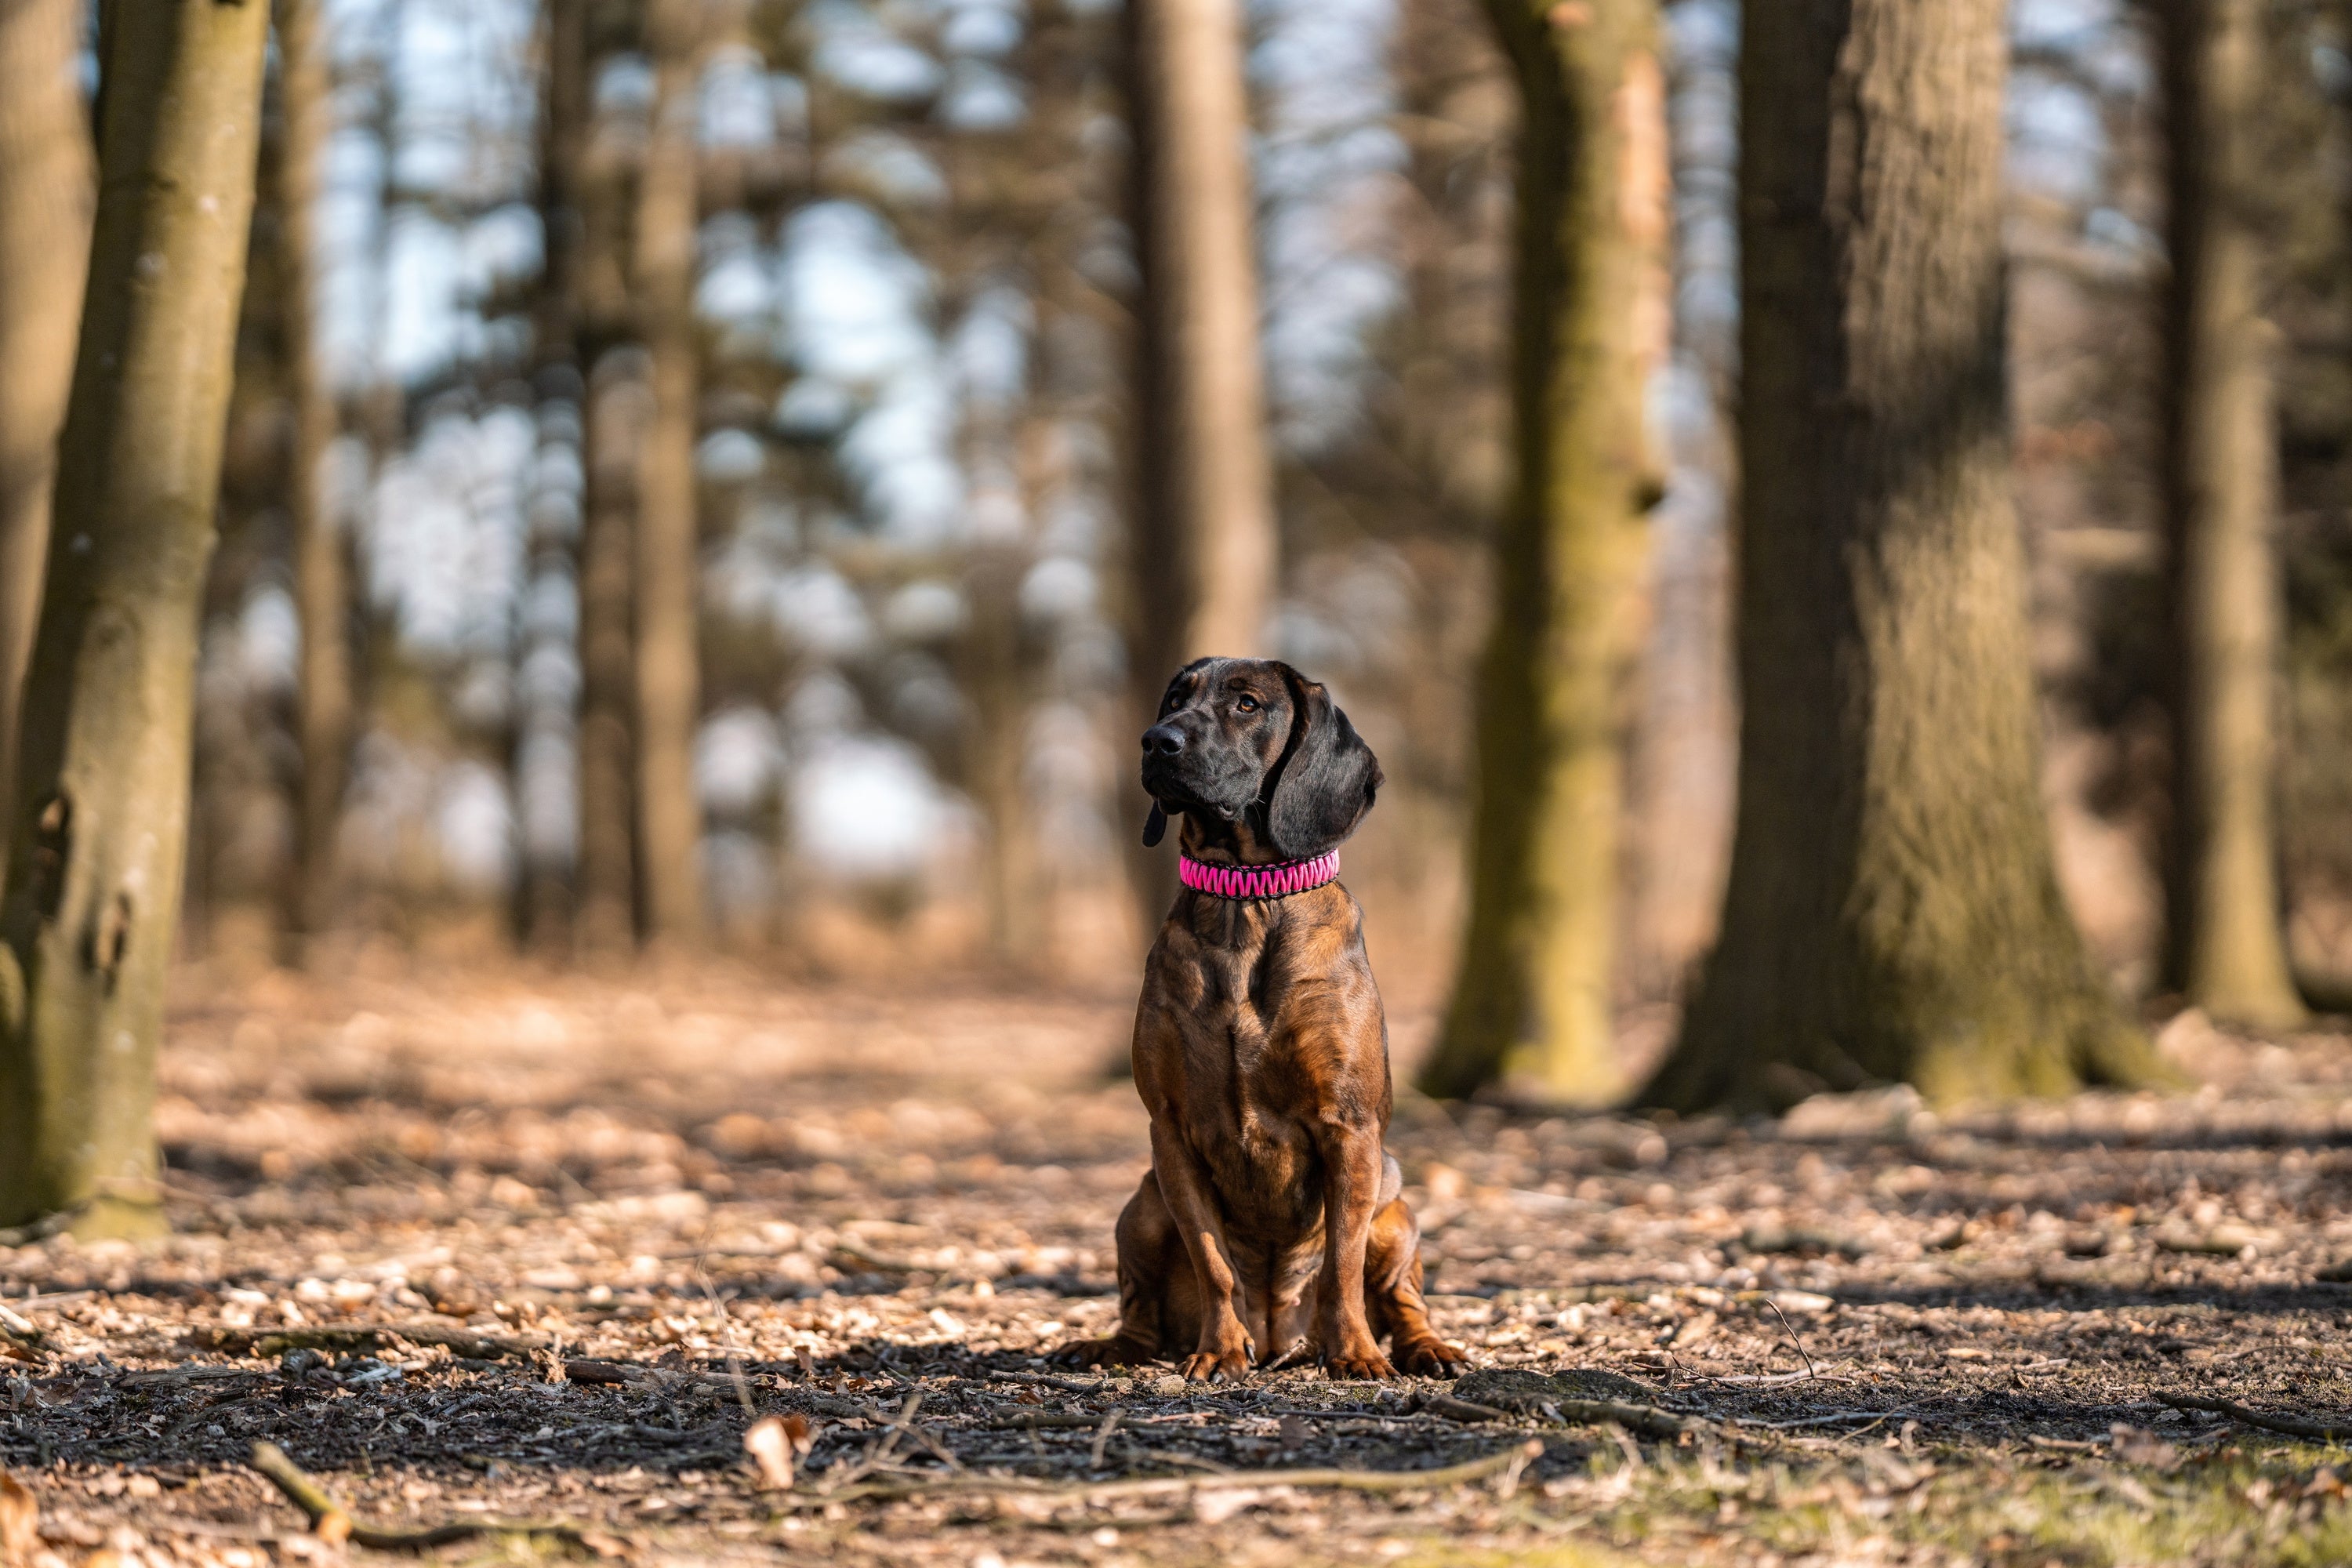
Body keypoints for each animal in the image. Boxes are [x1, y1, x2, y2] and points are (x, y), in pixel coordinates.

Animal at [1077, 658, 1458, 1382]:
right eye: (1176, 698)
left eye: (1248, 705)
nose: (1156, 741)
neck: (1246, 903)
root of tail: (1281, 1332)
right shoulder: (1171, 1133)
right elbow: (1213, 1262)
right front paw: (1220, 1350)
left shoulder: (1349, 1129)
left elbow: (1342, 1264)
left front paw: (1357, 1354)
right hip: (1141, 1208)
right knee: (1140, 1307)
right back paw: (1113, 1348)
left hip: (1397, 1207)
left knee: (1403, 1297)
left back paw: (1426, 1348)